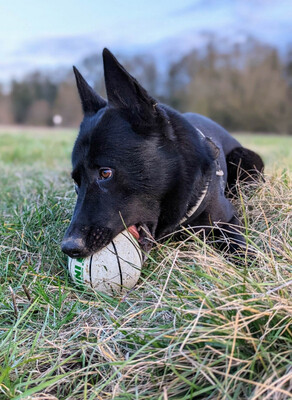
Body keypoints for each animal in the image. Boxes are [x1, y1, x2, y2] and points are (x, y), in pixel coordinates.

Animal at [61, 48, 264, 260]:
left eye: (105, 173)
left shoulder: (227, 219)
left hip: (245, 161)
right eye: (76, 182)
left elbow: (238, 245)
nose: (69, 247)